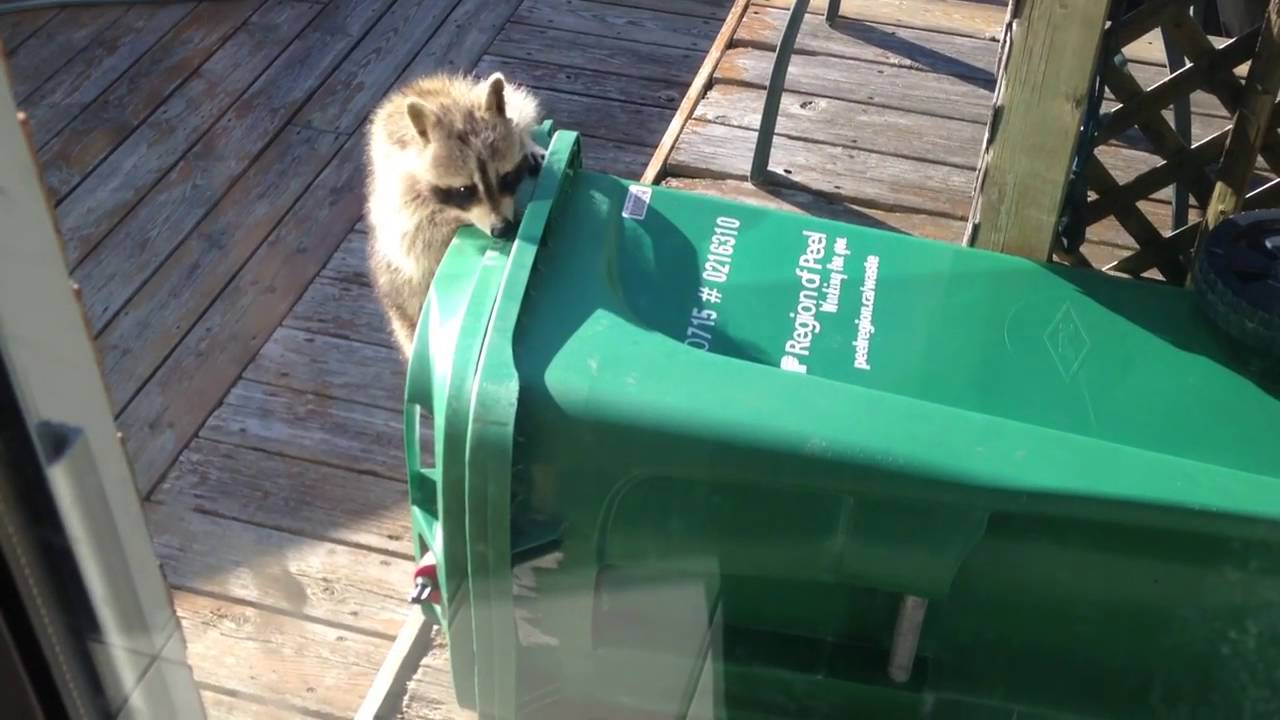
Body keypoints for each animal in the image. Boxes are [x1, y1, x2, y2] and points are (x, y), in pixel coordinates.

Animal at [364, 71, 544, 357]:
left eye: (505, 177)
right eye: (464, 189)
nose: (502, 229)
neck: (452, 107)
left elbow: (519, 114)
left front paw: (526, 143)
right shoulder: (399, 200)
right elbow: (416, 243)